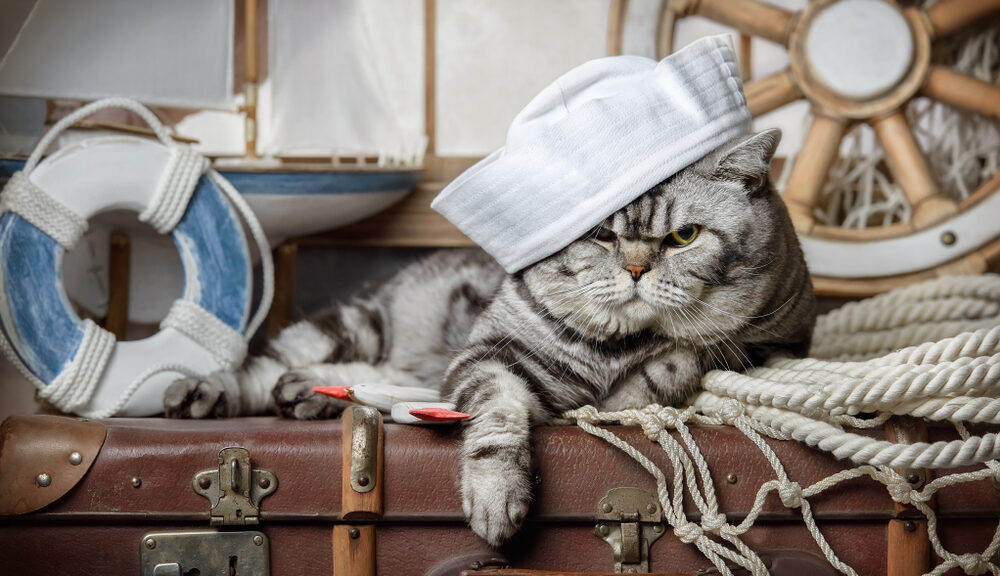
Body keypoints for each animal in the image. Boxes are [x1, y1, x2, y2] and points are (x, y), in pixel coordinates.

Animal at [164, 128, 816, 548]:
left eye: (684, 236)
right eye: (602, 235)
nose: (634, 269)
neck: (618, 344)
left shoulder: (773, 344)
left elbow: (682, 358)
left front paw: (628, 389)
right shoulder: (488, 356)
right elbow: (498, 418)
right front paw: (497, 498)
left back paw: (311, 395)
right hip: (357, 323)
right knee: (264, 366)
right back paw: (206, 393)